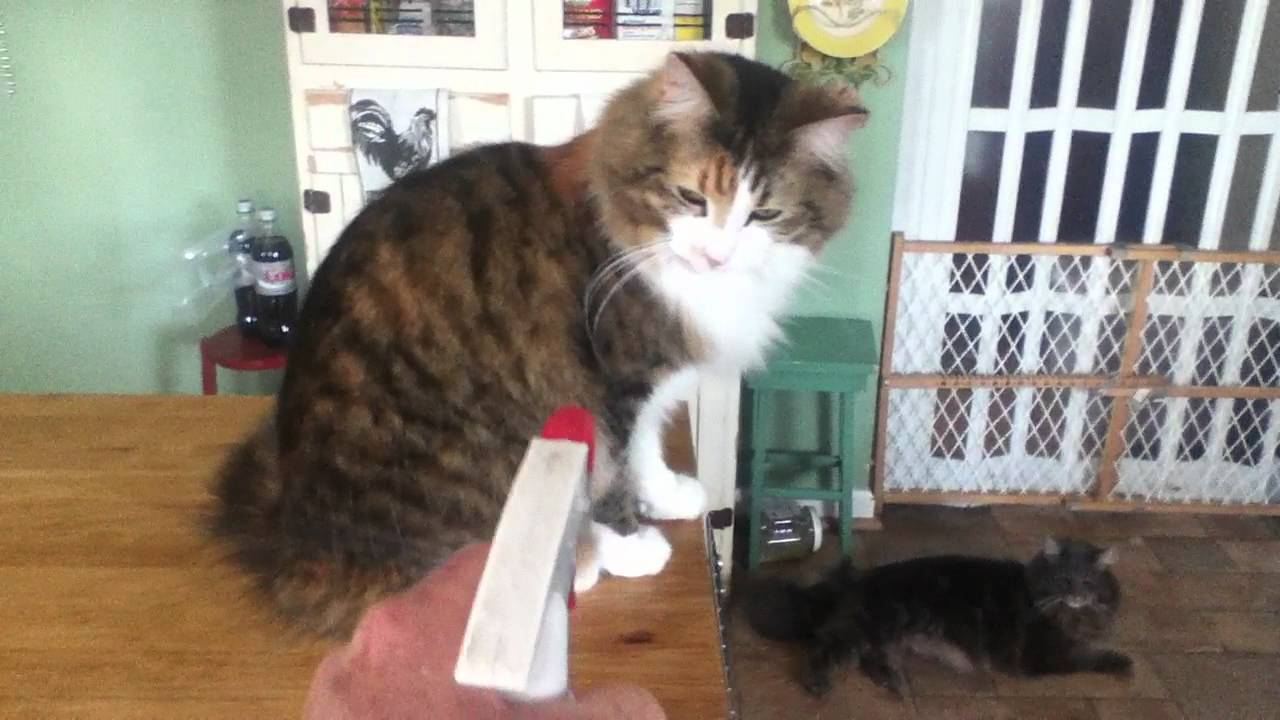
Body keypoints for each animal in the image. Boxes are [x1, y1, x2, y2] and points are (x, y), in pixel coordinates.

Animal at [209, 51, 869, 638]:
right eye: (691, 198)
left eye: (764, 215)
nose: (716, 255)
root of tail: (296, 544)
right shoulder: (614, 388)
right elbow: (616, 478)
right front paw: (633, 545)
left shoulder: (650, 386)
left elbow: (647, 453)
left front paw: (670, 496)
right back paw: (582, 564)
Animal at [745, 537, 1131, 698]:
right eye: (1064, 580)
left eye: (1087, 581)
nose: (1077, 595)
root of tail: (855, 579)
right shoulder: (1043, 654)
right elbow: (1091, 656)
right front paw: (1124, 664)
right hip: (867, 628)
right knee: (822, 650)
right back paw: (820, 686)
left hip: (884, 635)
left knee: (870, 659)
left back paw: (895, 685)